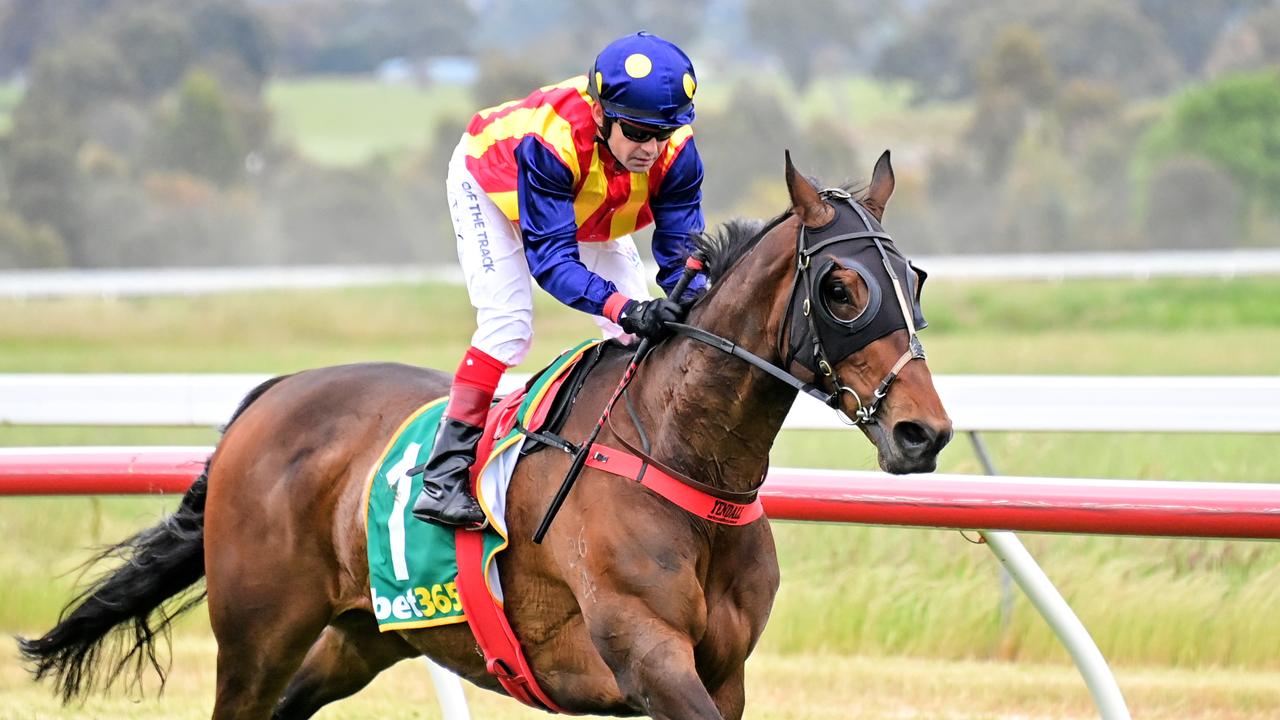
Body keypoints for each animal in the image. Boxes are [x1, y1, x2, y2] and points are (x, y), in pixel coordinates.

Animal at [17, 152, 952, 717]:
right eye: (841, 289)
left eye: (912, 278)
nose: (925, 433)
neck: (678, 453)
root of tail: (273, 396)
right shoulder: (649, 658)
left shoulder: (724, 672)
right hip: (256, 634)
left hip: (361, 637)